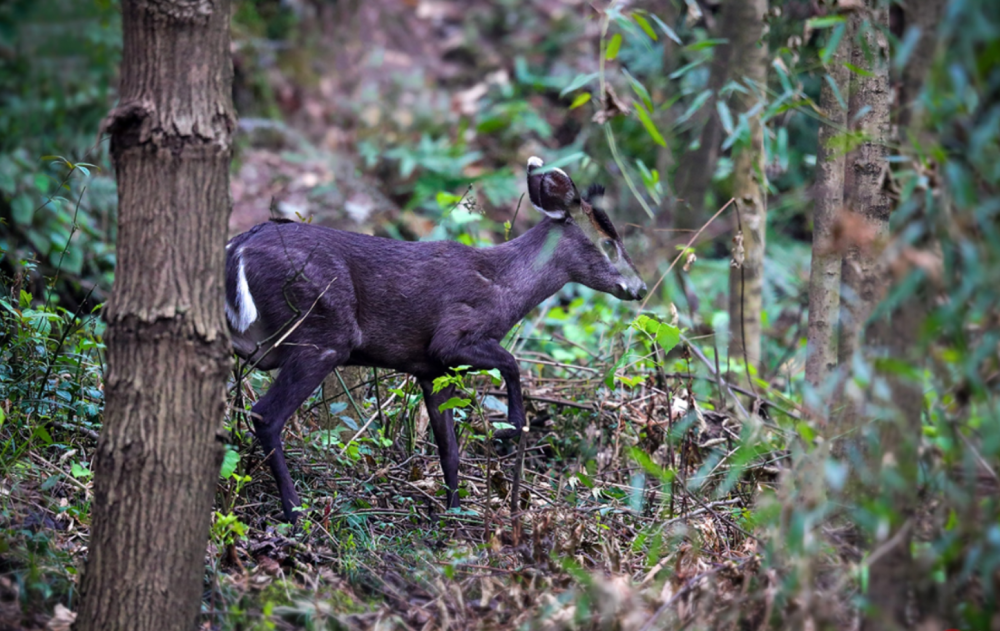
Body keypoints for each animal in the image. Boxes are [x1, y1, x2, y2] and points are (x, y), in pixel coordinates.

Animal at [227, 158, 648, 524]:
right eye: (608, 241)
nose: (640, 288)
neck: (503, 289)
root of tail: (238, 250)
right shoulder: (450, 338)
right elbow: (511, 362)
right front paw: (509, 427)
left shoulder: (431, 369)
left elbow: (449, 449)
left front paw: (454, 511)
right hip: (322, 330)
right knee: (266, 415)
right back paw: (295, 513)